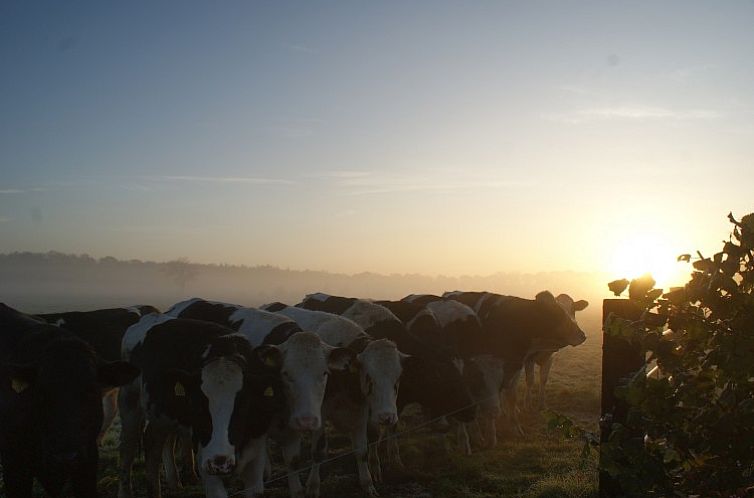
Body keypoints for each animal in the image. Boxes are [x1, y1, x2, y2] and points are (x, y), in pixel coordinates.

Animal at [117, 316, 284, 498]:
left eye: (244, 405)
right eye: (197, 405)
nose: (220, 462)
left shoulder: (257, 450)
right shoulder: (205, 455)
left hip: (163, 416)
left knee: (154, 443)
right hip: (130, 402)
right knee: (129, 446)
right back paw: (126, 491)